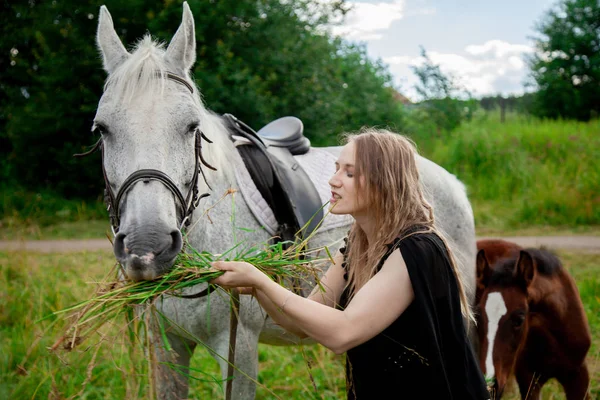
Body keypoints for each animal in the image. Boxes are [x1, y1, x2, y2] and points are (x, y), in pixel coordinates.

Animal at [95, 2, 478, 396]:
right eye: (102, 129)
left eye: (191, 127)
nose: (147, 247)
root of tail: (450, 181)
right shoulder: (165, 346)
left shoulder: (238, 347)